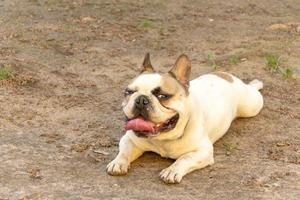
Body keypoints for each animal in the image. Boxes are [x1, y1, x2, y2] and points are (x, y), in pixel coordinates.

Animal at [106, 52, 262, 183]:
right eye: (129, 92)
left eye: (162, 96)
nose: (141, 100)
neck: (163, 139)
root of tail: (224, 75)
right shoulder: (129, 139)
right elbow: (124, 151)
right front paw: (118, 163)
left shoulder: (203, 151)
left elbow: (184, 158)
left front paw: (171, 171)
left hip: (251, 106)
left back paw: (256, 83)